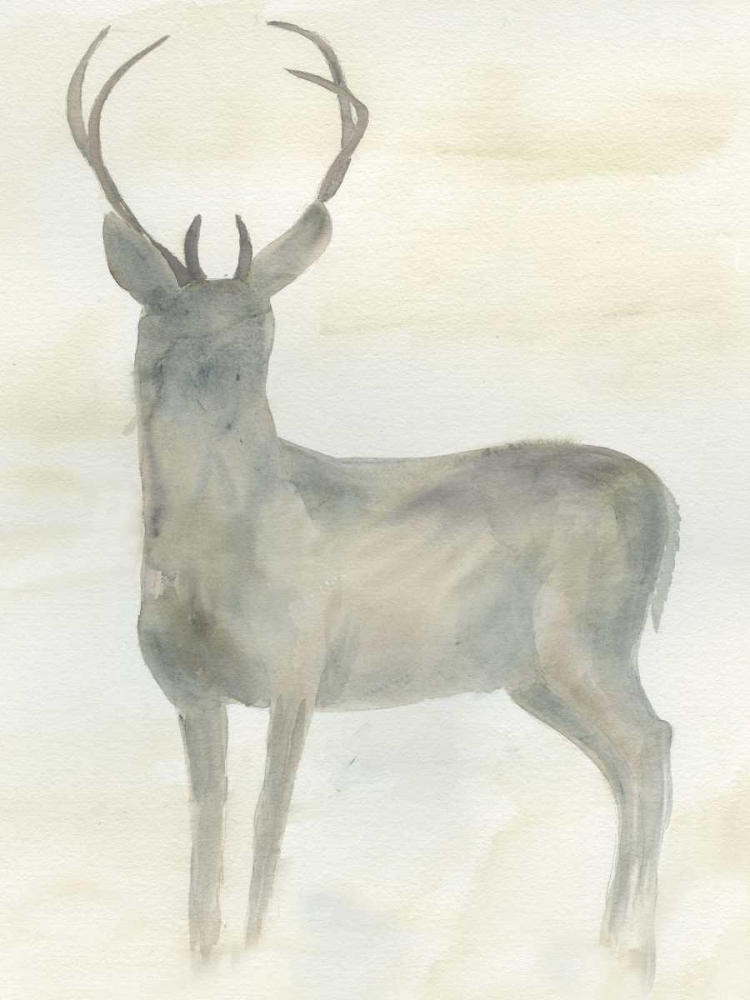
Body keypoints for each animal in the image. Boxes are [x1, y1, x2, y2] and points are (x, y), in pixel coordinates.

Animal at [68, 20, 679, 990]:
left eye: (261, 322)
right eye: (165, 320)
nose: (227, 392)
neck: (211, 561)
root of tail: (662, 495)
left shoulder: (298, 667)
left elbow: (268, 826)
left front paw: (257, 954)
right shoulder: (188, 692)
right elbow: (205, 833)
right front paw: (205, 960)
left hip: (590, 639)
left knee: (652, 744)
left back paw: (640, 954)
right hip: (537, 675)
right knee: (620, 767)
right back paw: (609, 947)